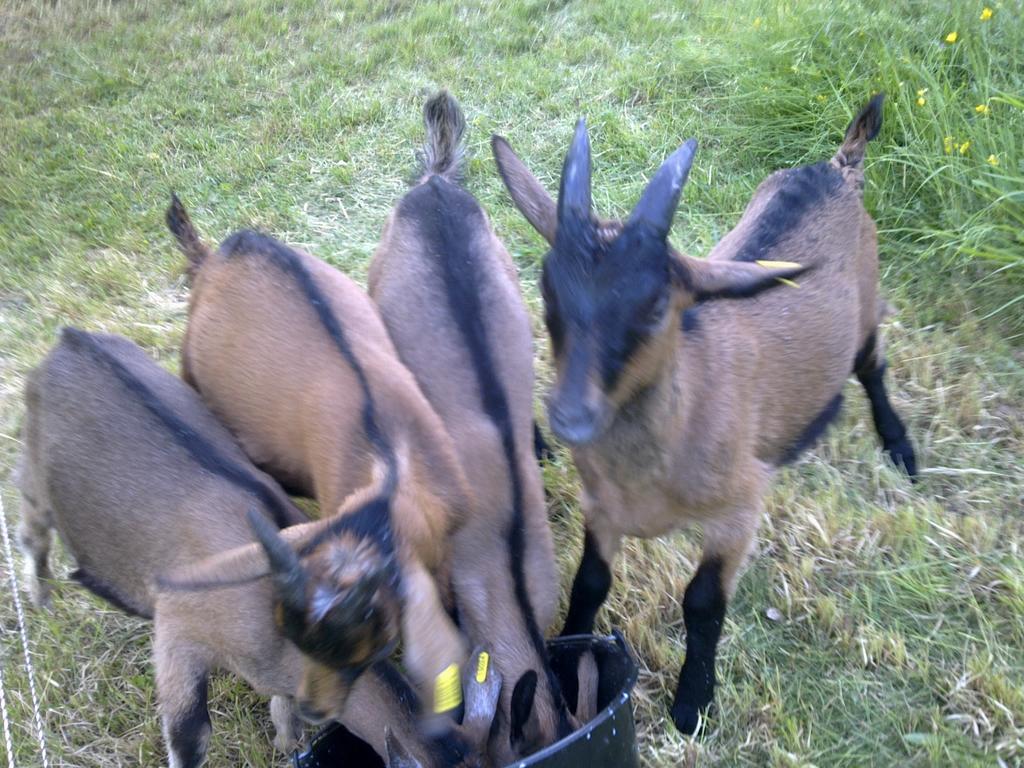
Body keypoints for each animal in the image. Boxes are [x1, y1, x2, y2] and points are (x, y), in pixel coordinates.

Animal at [491, 96, 917, 733]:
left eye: (656, 306)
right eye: (547, 290)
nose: (569, 417)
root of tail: (839, 168)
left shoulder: (737, 514)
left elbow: (703, 603)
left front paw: (692, 702)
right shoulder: (601, 508)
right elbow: (590, 583)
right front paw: (569, 665)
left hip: (865, 306)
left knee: (871, 366)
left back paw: (900, 448)